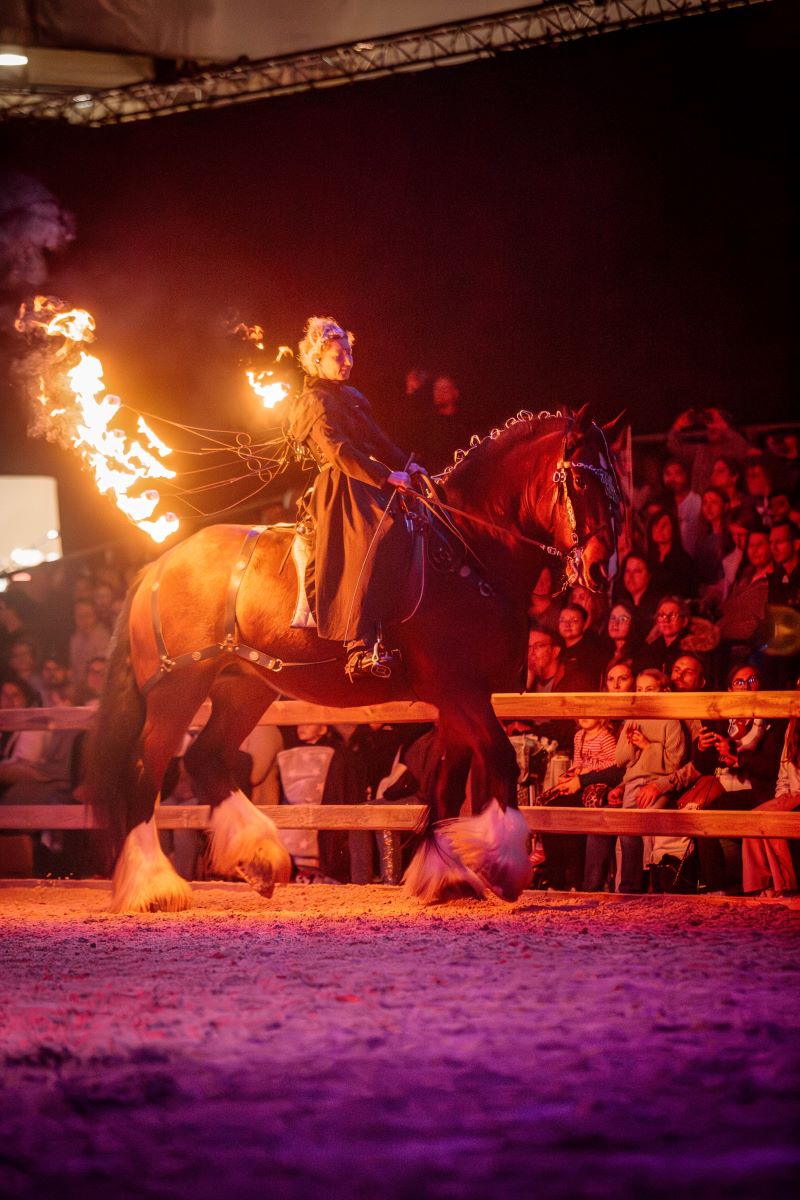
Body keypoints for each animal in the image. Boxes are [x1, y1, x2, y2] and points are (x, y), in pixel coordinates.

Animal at [86, 404, 622, 911]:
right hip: (180, 687)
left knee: (205, 757)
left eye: (616, 485)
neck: (465, 550)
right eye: (579, 479)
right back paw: (153, 887)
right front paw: (502, 865)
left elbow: (448, 781)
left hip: (244, 686)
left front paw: (445, 875)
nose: (603, 568)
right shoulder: (457, 690)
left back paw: (260, 860)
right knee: (147, 769)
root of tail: (159, 564)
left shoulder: (459, 698)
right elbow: (500, 759)